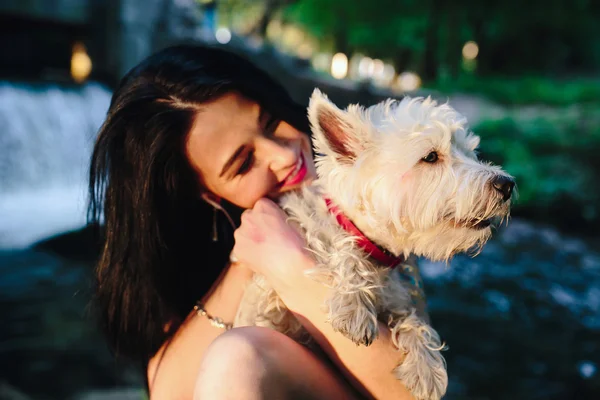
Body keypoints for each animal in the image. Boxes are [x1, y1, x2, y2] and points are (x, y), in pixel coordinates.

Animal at [234, 90, 516, 400]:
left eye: (471, 152)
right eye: (430, 157)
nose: (507, 184)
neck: (379, 252)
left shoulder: (400, 298)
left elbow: (415, 320)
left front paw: (425, 367)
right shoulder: (268, 295)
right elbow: (339, 252)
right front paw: (352, 305)